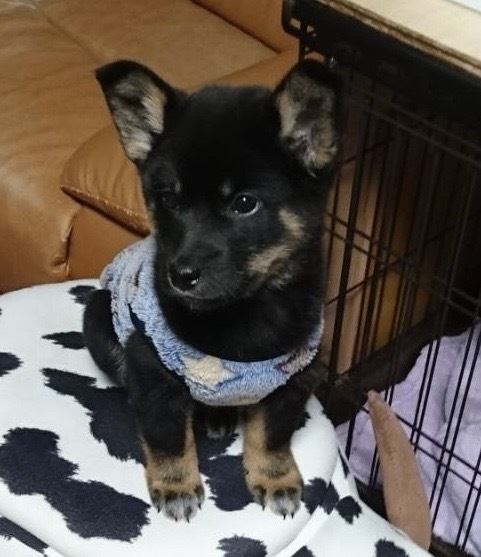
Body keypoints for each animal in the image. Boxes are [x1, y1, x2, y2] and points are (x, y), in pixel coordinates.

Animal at [83, 58, 342, 523]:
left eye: (244, 203)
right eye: (169, 200)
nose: (179, 275)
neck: (245, 309)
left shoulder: (295, 377)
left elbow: (272, 435)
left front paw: (275, 478)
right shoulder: (151, 368)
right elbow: (168, 434)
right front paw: (175, 485)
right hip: (97, 317)